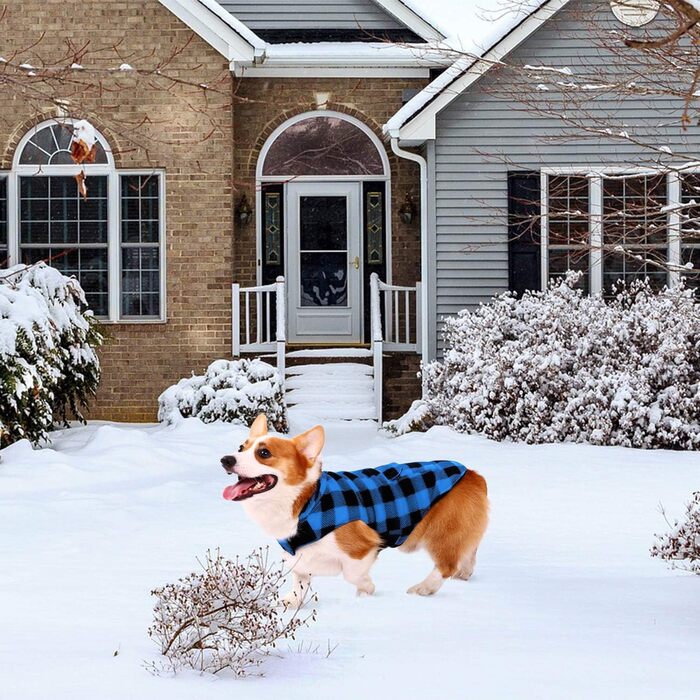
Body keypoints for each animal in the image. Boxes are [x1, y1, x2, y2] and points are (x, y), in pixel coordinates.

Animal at [221, 416, 490, 608]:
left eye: (264, 453)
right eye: (241, 447)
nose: (225, 459)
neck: (306, 501)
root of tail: (474, 474)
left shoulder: (362, 548)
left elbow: (353, 575)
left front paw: (366, 592)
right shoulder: (300, 557)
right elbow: (300, 581)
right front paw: (291, 602)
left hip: (443, 532)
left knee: (446, 565)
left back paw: (423, 589)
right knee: (468, 556)